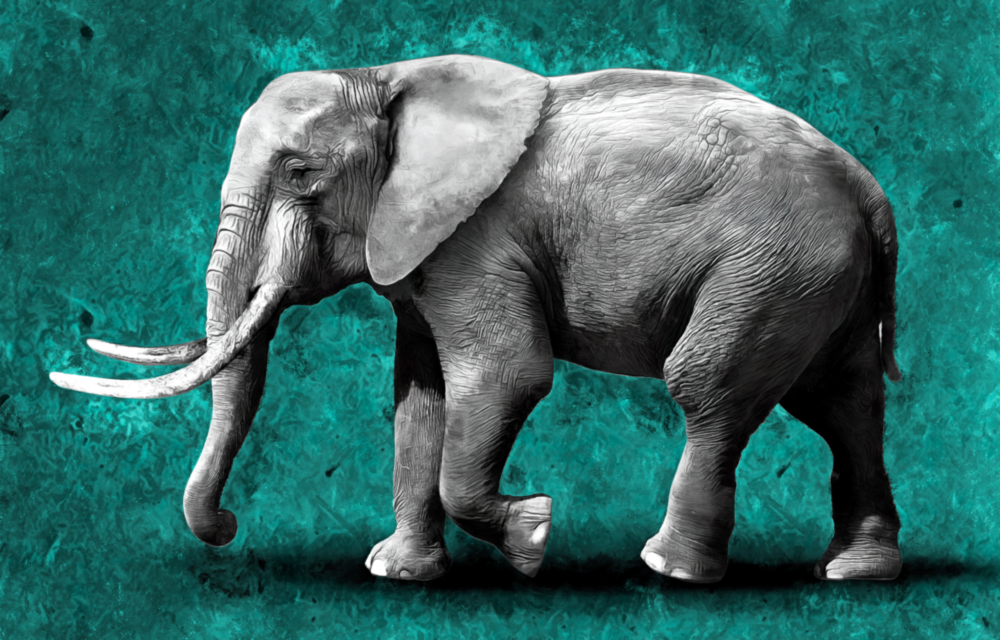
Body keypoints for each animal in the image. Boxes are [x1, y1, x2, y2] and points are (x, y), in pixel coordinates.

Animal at [50, 54, 903, 585]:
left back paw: (670, 569)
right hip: (818, 281)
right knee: (845, 403)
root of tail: (869, 191)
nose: (228, 525)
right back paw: (855, 571)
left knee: (709, 388)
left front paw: (533, 537)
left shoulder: (479, 240)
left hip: (771, 266)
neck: (386, 80)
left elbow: (506, 376)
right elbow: (418, 400)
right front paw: (397, 572)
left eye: (300, 173)